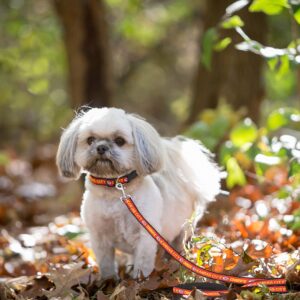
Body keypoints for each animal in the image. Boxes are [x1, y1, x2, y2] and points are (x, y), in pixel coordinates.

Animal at [56, 108, 221, 278]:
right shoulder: (99, 237)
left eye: (120, 141)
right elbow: (106, 263)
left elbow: (142, 263)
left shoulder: (145, 235)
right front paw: (108, 280)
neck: (114, 191)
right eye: (90, 140)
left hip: (184, 228)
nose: (101, 147)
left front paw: (139, 280)